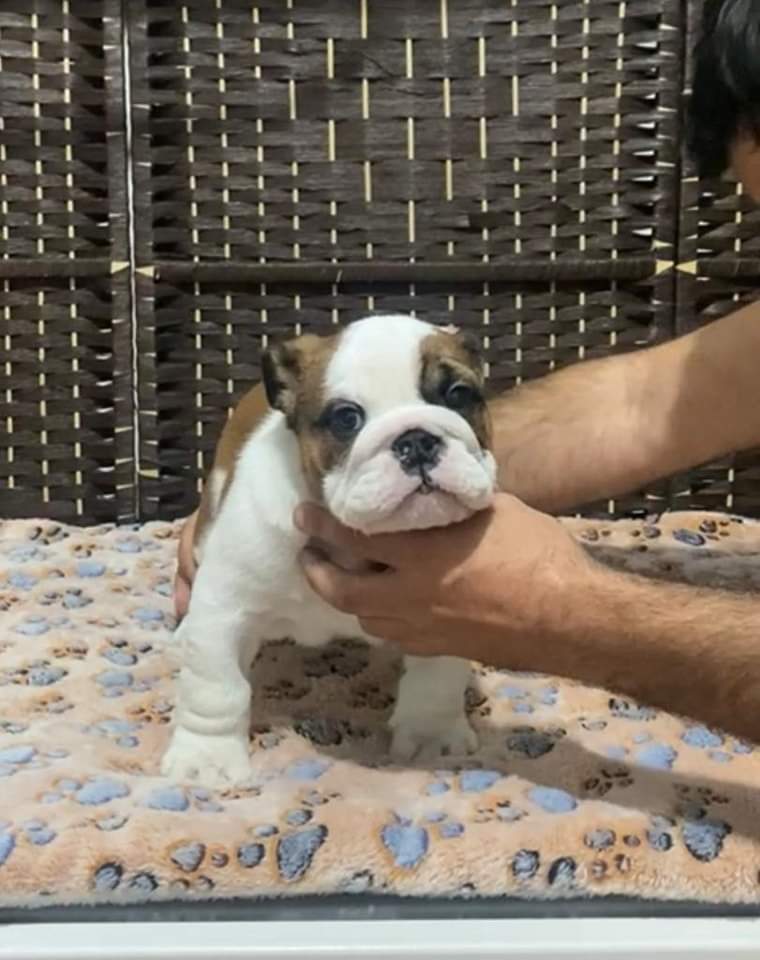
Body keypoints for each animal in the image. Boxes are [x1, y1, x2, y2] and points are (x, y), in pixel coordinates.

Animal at [161, 314, 497, 787]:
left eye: (458, 395)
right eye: (346, 418)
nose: (416, 440)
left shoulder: (441, 617)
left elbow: (435, 682)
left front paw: (431, 736)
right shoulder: (224, 608)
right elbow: (216, 688)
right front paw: (206, 755)